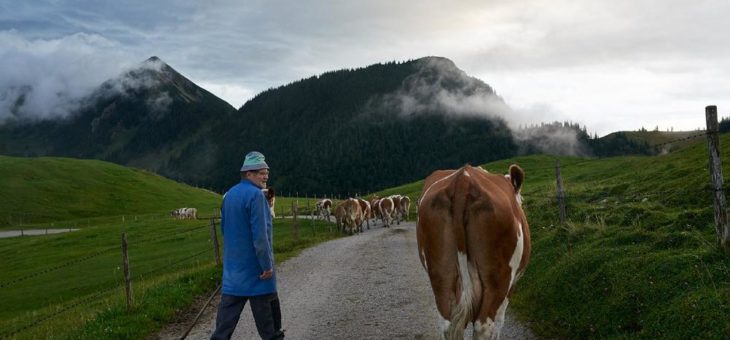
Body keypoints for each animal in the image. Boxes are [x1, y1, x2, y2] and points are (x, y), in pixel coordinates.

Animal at [416, 163, 528, 338]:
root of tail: (463, 180)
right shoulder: (511, 285)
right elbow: (500, 321)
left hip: (441, 274)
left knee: (448, 326)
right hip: (498, 278)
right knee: (484, 326)